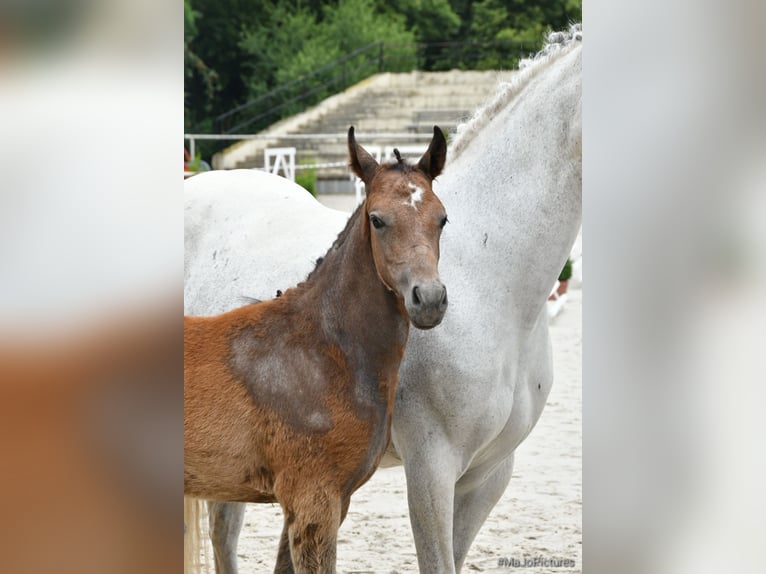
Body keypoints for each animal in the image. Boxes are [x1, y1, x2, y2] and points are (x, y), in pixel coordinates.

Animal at [185, 127, 450, 574]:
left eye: (442, 219)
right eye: (377, 219)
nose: (428, 299)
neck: (322, 351)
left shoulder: (332, 502)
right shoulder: (313, 500)